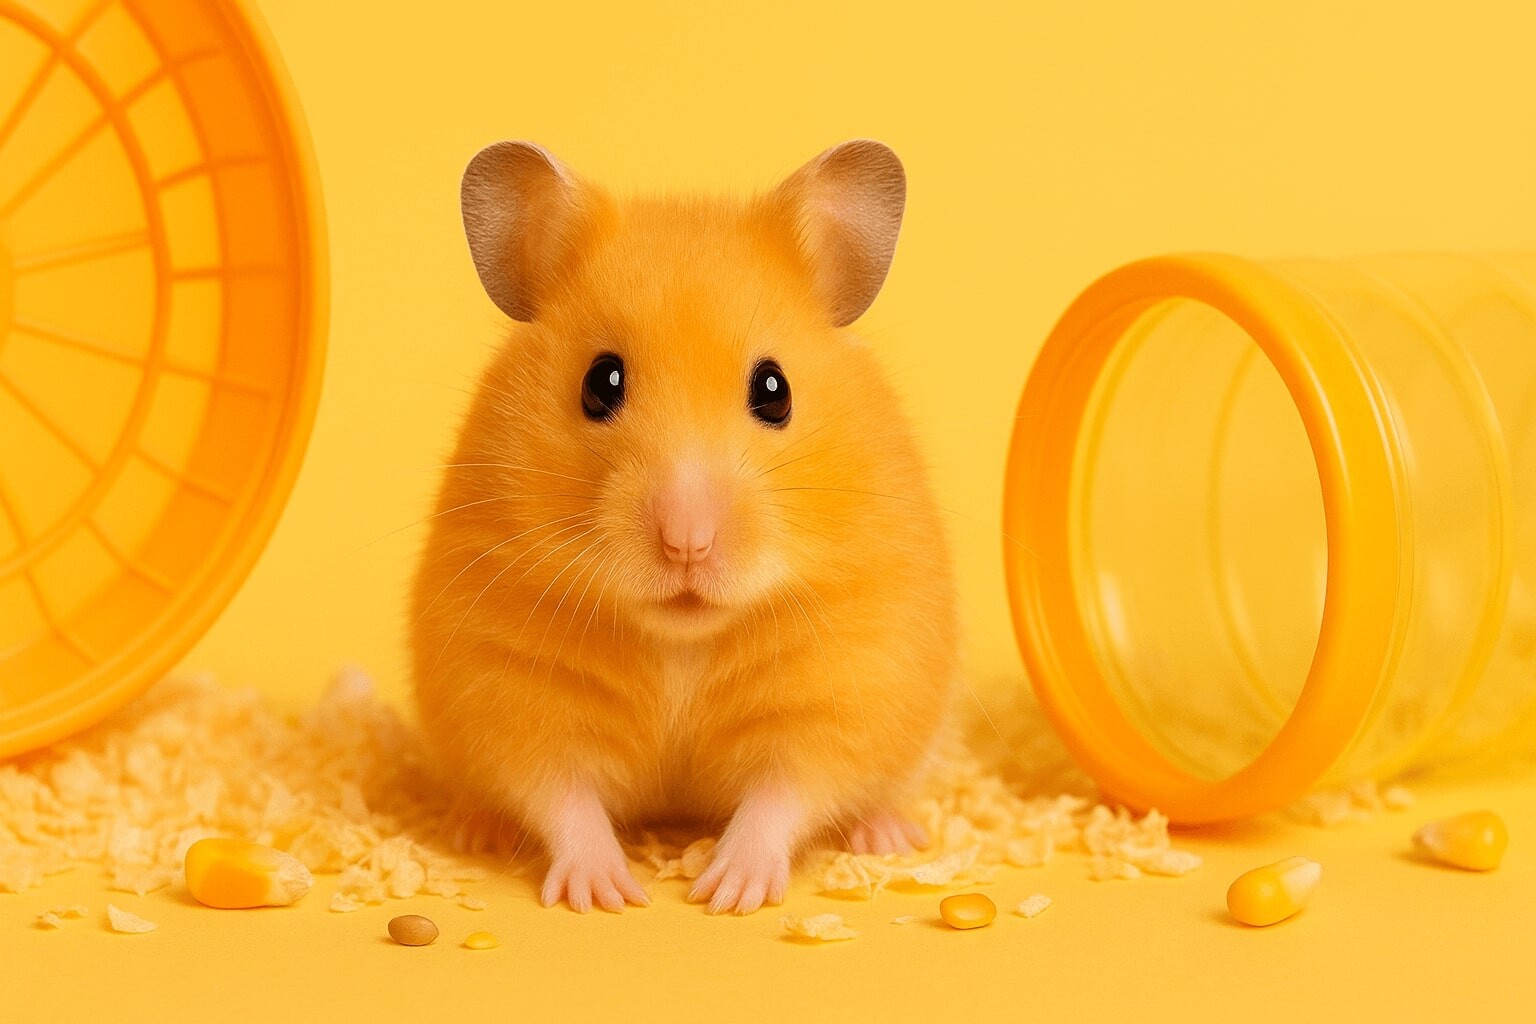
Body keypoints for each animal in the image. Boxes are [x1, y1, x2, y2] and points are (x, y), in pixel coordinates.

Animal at [410, 139, 959, 914]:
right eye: (600, 382)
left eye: (775, 390)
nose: (687, 543)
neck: (681, 643)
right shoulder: (507, 689)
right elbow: (562, 795)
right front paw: (607, 893)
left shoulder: (848, 685)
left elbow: (784, 793)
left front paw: (728, 891)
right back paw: (473, 830)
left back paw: (887, 834)